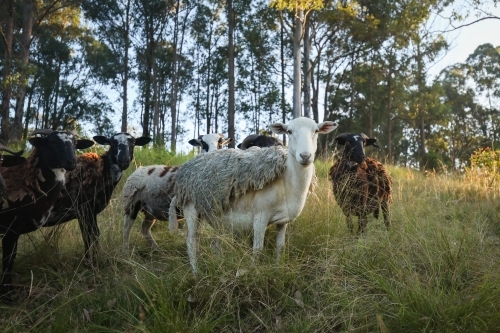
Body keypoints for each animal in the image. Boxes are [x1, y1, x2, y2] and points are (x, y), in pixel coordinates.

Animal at [0, 130, 94, 300]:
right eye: (52, 142)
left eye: (75, 143)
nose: (72, 162)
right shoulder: (11, 228)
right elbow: (8, 259)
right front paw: (7, 293)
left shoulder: (15, 230)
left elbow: (11, 257)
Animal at [44, 132, 150, 262]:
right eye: (112, 142)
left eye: (133, 142)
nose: (123, 160)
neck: (102, 171)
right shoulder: (83, 210)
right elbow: (88, 236)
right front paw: (89, 262)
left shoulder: (92, 211)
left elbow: (94, 235)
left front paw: (93, 259)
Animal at [170, 116, 338, 272]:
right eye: (289, 131)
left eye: (316, 131)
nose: (305, 156)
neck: (287, 181)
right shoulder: (260, 217)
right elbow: (257, 249)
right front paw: (253, 271)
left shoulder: (282, 221)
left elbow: (280, 247)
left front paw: (278, 268)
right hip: (191, 210)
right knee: (192, 243)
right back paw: (195, 272)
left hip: (215, 215)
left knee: (215, 243)